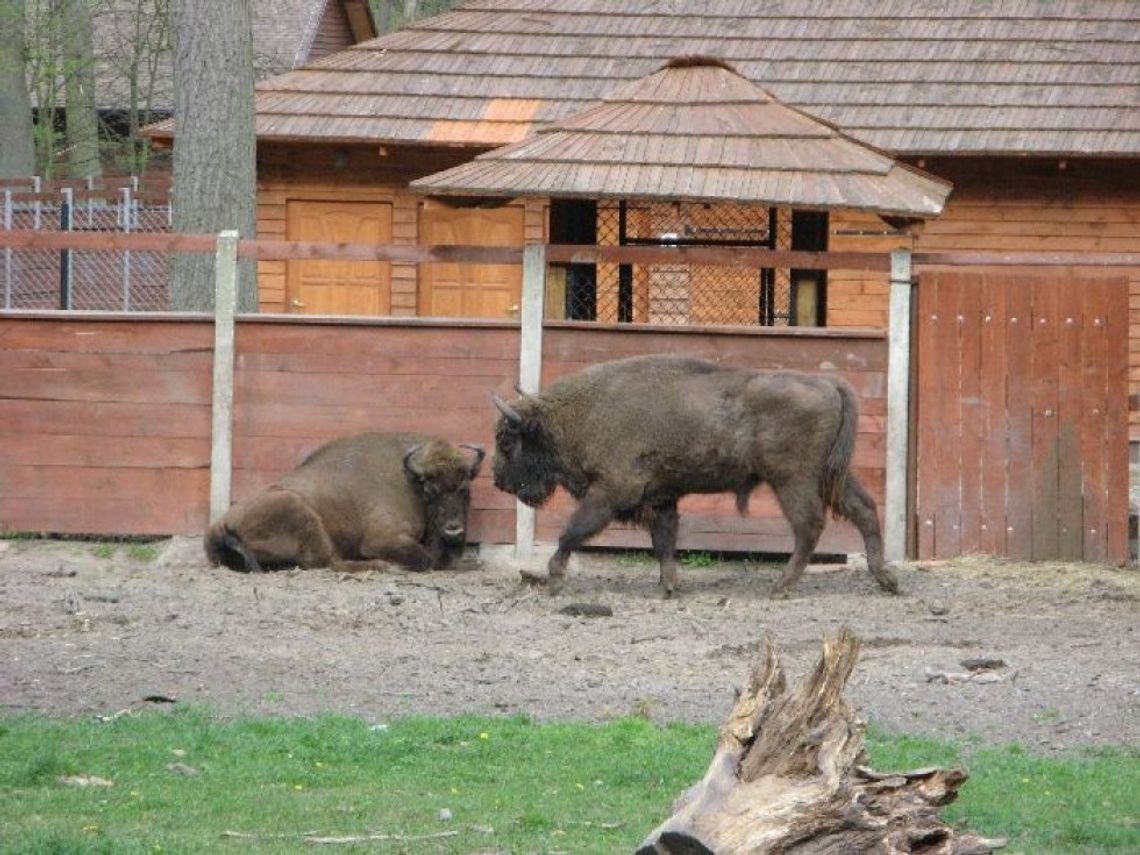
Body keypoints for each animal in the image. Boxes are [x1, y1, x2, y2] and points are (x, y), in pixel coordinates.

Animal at [205, 435, 481, 576]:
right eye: (431, 491)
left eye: (465, 489)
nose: (453, 529)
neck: (411, 481)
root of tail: (218, 528)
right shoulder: (381, 539)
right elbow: (425, 558)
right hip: (300, 512)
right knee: (327, 561)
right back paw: (384, 566)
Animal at [490, 355, 898, 597]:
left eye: (507, 440)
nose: (498, 481)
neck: (582, 412)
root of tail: (829, 384)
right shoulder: (660, 498)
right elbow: (664, 540)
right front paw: (669, 586)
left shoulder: (611, 492)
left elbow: (573, 531)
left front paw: (554, 577)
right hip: (831, 476)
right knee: (863, 508)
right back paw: (885, 578)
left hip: (792, 480)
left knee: (809, 525)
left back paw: (780, 585)